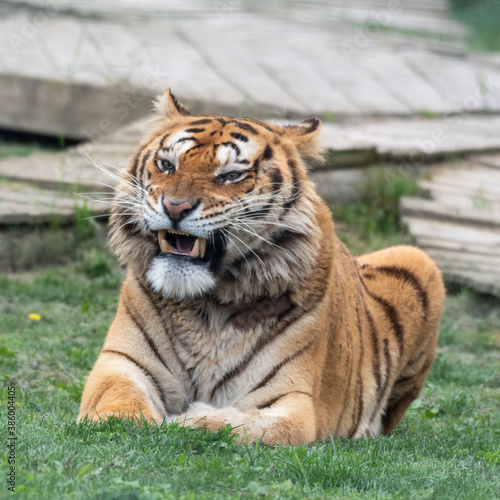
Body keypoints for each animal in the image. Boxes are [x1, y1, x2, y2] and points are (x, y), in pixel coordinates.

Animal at [78, 88, 446, 444]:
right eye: (167, 165)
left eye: (231, 175)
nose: (175, 206)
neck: (208, 307)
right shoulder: (121, 363)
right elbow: (118, 404)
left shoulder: (292, 401)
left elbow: (244, 426)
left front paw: (186, 420)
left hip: (420, 260)